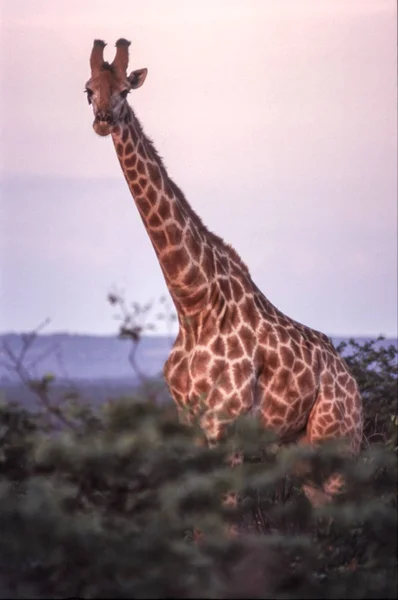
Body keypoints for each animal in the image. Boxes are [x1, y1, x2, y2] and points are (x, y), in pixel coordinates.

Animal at [84, 36, 364, 506]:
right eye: (89, 90)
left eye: (125, 90)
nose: (104, 121)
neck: (193, 302)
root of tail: (353, 382)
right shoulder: (190, 425)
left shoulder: (227, 427)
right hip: (300, 451)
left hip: (340, 441)